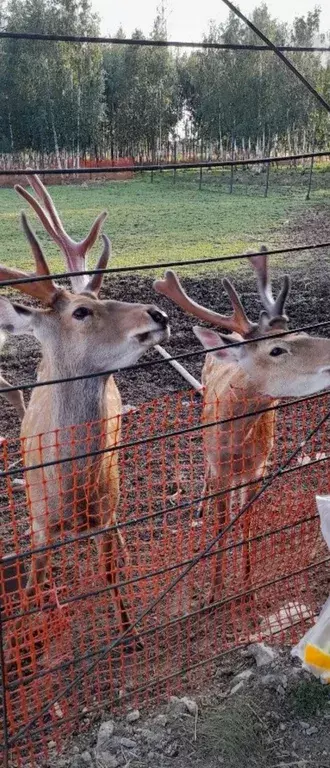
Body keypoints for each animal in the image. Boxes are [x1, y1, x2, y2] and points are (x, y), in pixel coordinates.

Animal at [155, 255, 330, 604]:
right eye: (276, 350)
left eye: (296, 333)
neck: (237, 441)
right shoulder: (221, 467)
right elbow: (222, 523)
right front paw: (214, 591)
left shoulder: (260, 468)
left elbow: (247, 521)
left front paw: (247, 587)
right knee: (206, 475)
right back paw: (200, 507)